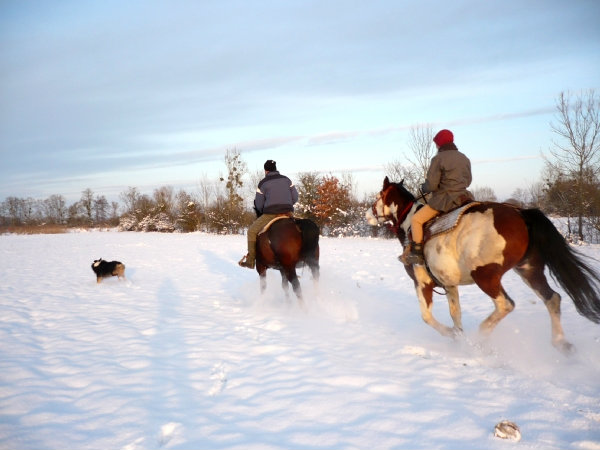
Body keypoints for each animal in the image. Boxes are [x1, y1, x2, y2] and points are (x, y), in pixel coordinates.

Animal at [364, 176, 600, 352]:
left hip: (486, 277)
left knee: (506, 305)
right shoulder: (449, 284)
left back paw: (481, 337)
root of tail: (521, 214)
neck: (410, 224)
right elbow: (455, 313)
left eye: (377, 197)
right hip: (529, 270)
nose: (367, 215)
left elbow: (427, 317)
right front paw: (459, 336)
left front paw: (453, 335)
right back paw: (561, 343)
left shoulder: (422, 283)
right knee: (553, 299)